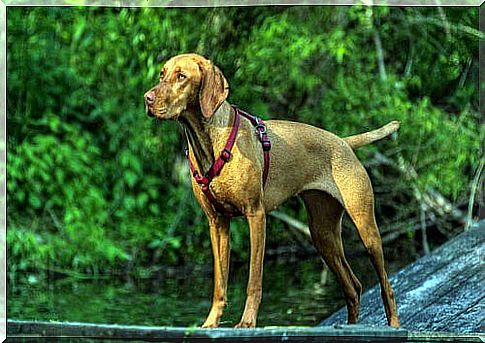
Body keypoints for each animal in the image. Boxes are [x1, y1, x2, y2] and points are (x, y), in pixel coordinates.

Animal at [145, 53, 400, 330]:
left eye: (181, 76)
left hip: (366, 229)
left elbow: (254, 280)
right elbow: (220, 284)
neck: (210, 142)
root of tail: (343, 142)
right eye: (162, 74)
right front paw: (211, 322)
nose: (147, 98)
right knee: (353, 287)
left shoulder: (256, 215)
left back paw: (395, 325)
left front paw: (247, 322)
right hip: (323, 234)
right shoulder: (217, 223)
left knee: (386, 285)